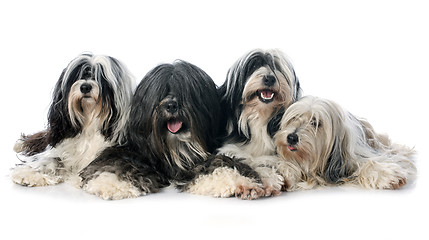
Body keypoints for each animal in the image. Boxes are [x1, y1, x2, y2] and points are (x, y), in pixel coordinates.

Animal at [10, 54, 135, 188]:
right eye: (78, 76)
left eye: (101, 77)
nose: (85, 87)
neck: (89, 121)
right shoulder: (62, 147)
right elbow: (50, 159)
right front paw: (30, 172)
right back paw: (21, 144)